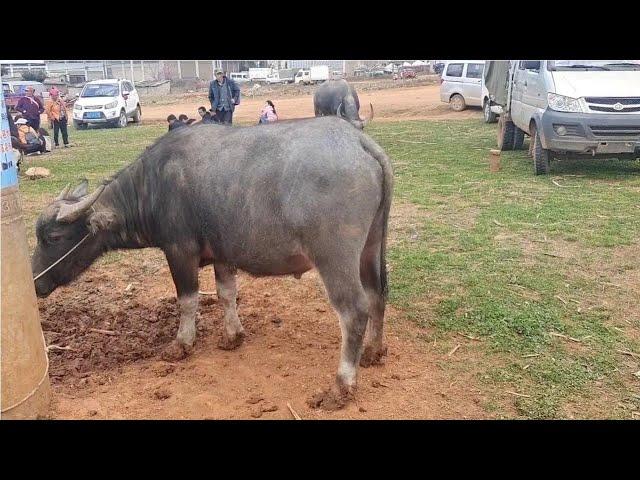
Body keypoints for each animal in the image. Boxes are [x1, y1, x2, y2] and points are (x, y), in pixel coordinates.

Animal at [32, 117, 392, 408]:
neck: (152, 186)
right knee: (377, 295)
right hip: (371, 247)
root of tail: (359, 142)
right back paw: (373, 352)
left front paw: (181, 344)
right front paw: (232, 336)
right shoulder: (222, 254)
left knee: (354, 310)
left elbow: (188, 300)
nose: (35, 282)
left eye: (53, 238)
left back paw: (342, 386)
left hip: (335, 257)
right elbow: (226, 294)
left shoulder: (179, 250)